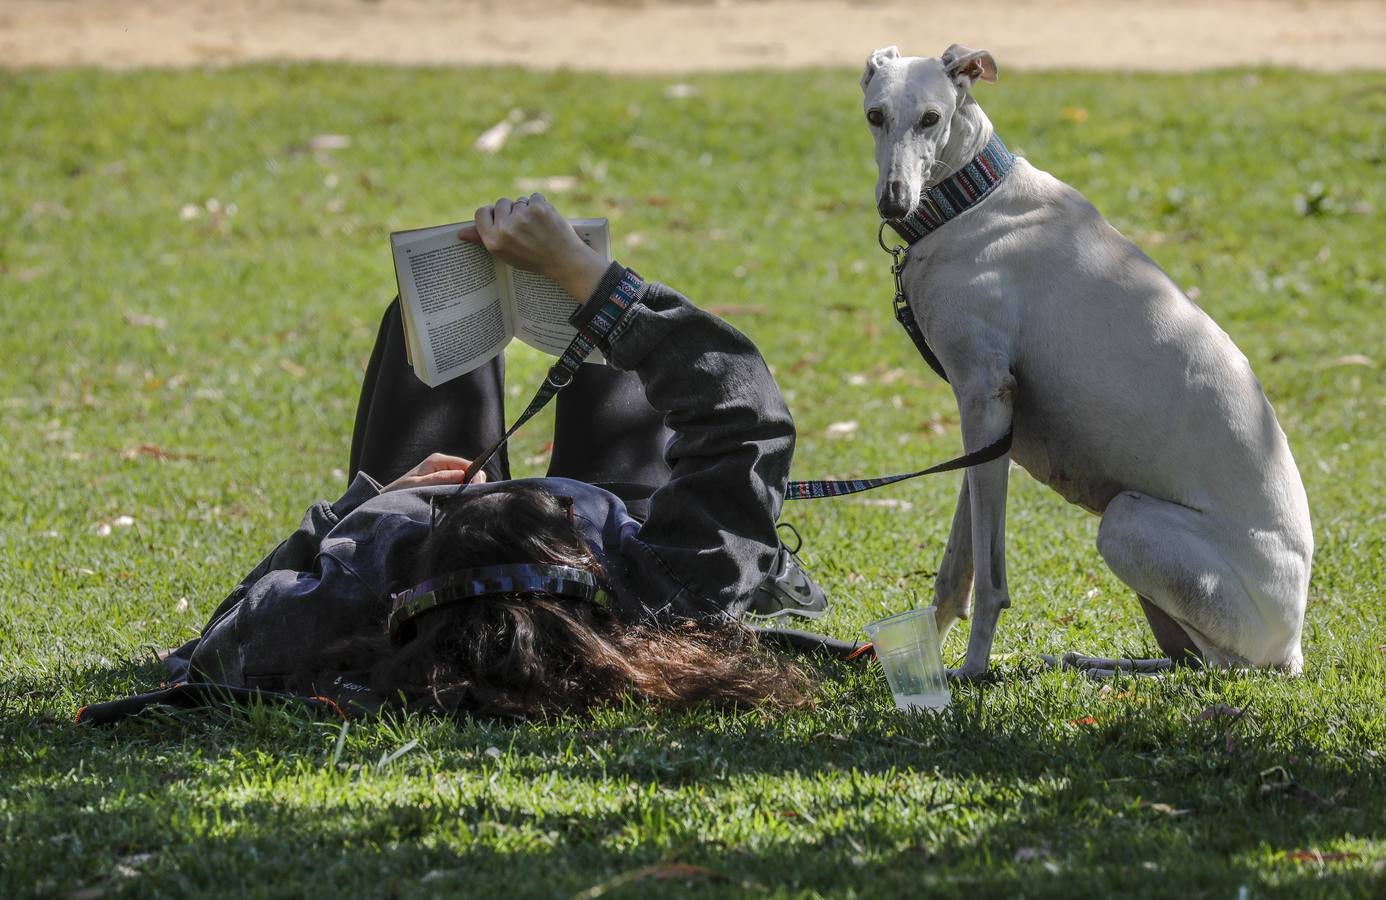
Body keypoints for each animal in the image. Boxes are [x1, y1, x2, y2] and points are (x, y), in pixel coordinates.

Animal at [859, 42, 1313, 673]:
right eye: (876, 115)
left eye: (931, 118)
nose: (894, 201)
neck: (972, 199)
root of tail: (1293, 645)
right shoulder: (987, 421)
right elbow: (956, 569)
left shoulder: (985, 394)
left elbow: (990, 580)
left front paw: (972, 673)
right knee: (1186, 659)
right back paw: (1084, 663)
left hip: (1129, 523)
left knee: (1219, 666)